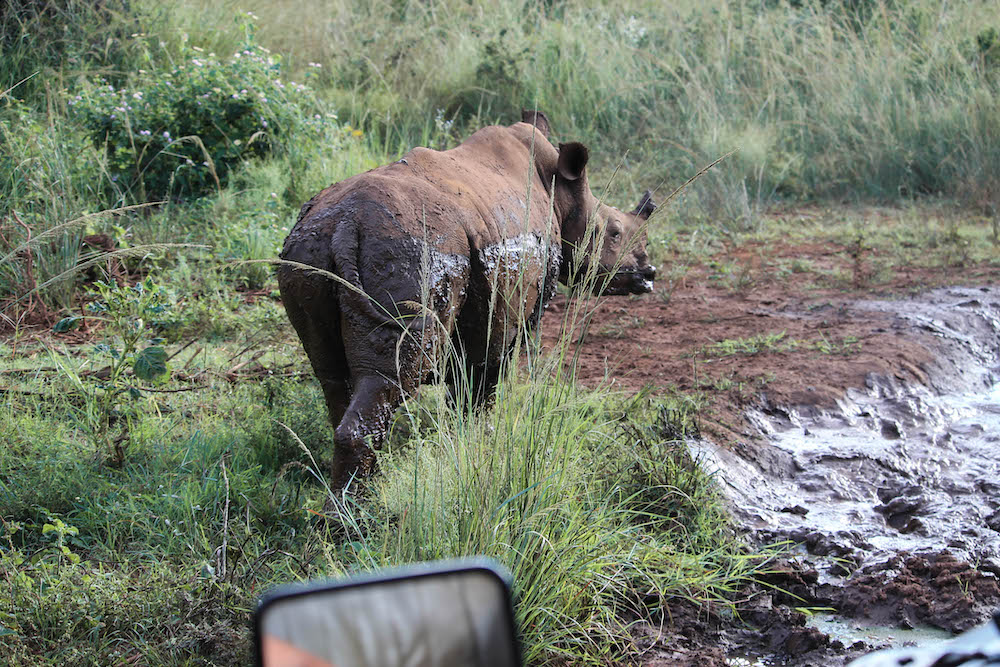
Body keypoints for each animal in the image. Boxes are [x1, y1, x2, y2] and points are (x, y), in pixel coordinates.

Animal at [280, 111, 656, 490]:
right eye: (614, 233)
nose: (649, 273)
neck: (561, 192)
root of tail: (346, 224)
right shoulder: (509, 317)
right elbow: (484, 384)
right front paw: (482, 444)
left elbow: (465, 388)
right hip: (409, 251)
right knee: (389, 379)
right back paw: (357, 506)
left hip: (307, 252)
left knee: (331, 374)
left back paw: (366, 492)